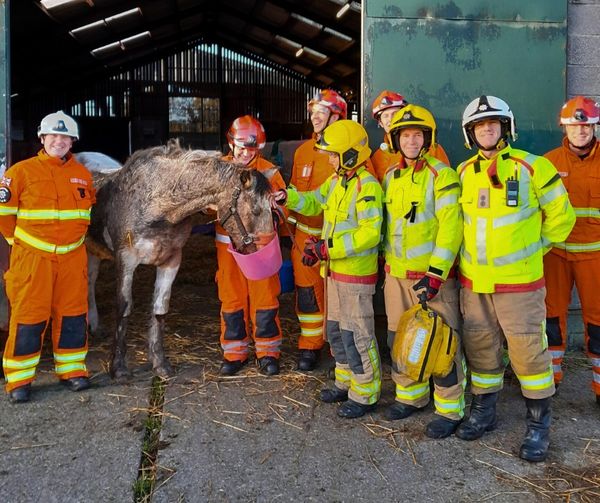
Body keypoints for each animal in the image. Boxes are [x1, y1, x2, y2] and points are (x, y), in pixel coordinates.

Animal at [84, 141, 276, 378]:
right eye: (256, 211)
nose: (268, 258)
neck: (157, 204)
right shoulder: (126, 260)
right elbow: (124, 308)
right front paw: (118, 367)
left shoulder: (172, 260)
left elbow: (160, 308)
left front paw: (160, 363)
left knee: (90, 281)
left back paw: (94, 325)